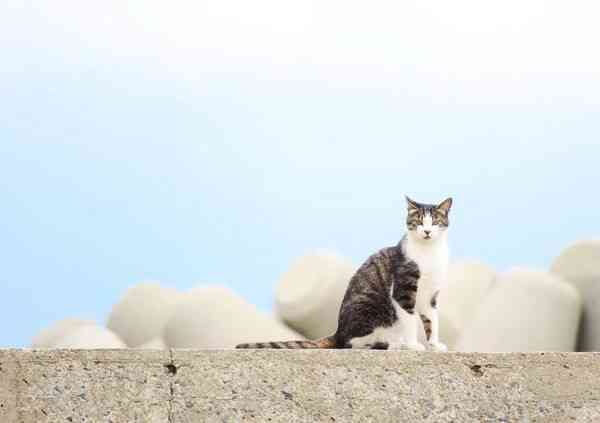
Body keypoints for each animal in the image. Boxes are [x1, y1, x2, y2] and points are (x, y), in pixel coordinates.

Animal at [237, 196, 452, 352]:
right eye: (418, 222)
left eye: (435, 222)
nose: (426, 231)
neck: (428, 252)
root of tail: (338, 331)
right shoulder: (402, 290)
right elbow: (410, 319)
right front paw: (414, 345)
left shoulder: (430, 296)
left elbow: (432, 321)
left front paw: (434, 345)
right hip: (368, 307)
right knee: (353, 343)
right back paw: (393, 344)